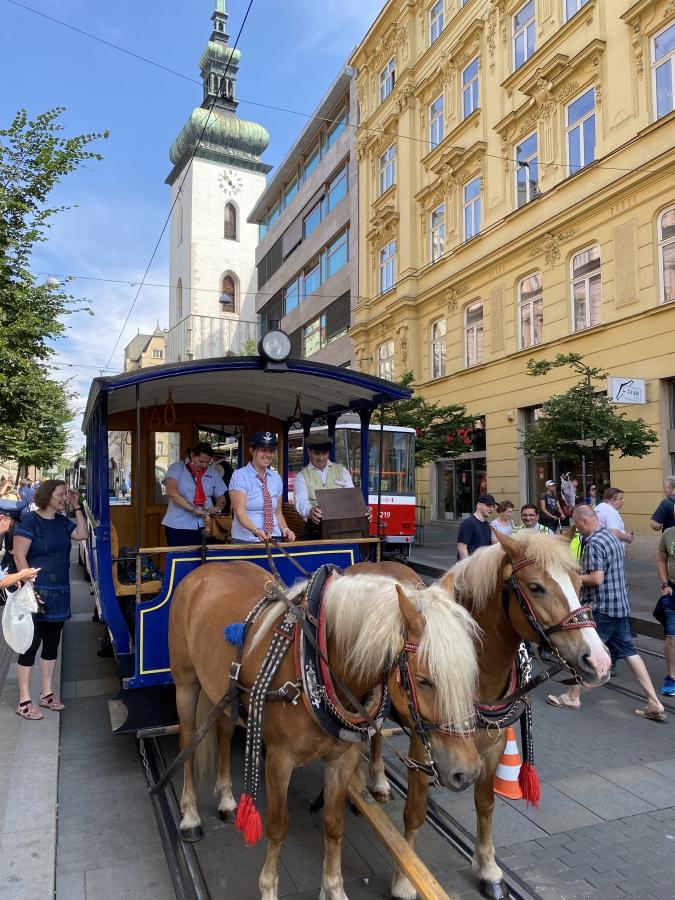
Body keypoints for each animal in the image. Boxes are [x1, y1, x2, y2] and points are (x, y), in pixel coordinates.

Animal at [168, 559, 483, 900]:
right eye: (424, 680)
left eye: (471, 673)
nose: (467, 772)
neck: (316, 661)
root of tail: (209, 566)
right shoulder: (279, 760)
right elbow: (277, 826)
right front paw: (268, 888)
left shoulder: (342, 758)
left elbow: (334, 824)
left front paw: (333, 888)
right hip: (186, 682)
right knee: (188, 741)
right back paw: (189, 815)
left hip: (226, 692)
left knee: (224, 731)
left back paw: (226, 798)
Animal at [361, 529, 612, 900]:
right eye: (536, 587)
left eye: (581, 584)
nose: (599, 660)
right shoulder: (423, 745)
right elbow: (415, 811)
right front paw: (406, 878)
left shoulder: (493, 746)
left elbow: (486, 803)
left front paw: (488, 868)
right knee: (374, 732)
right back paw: (378, 781)